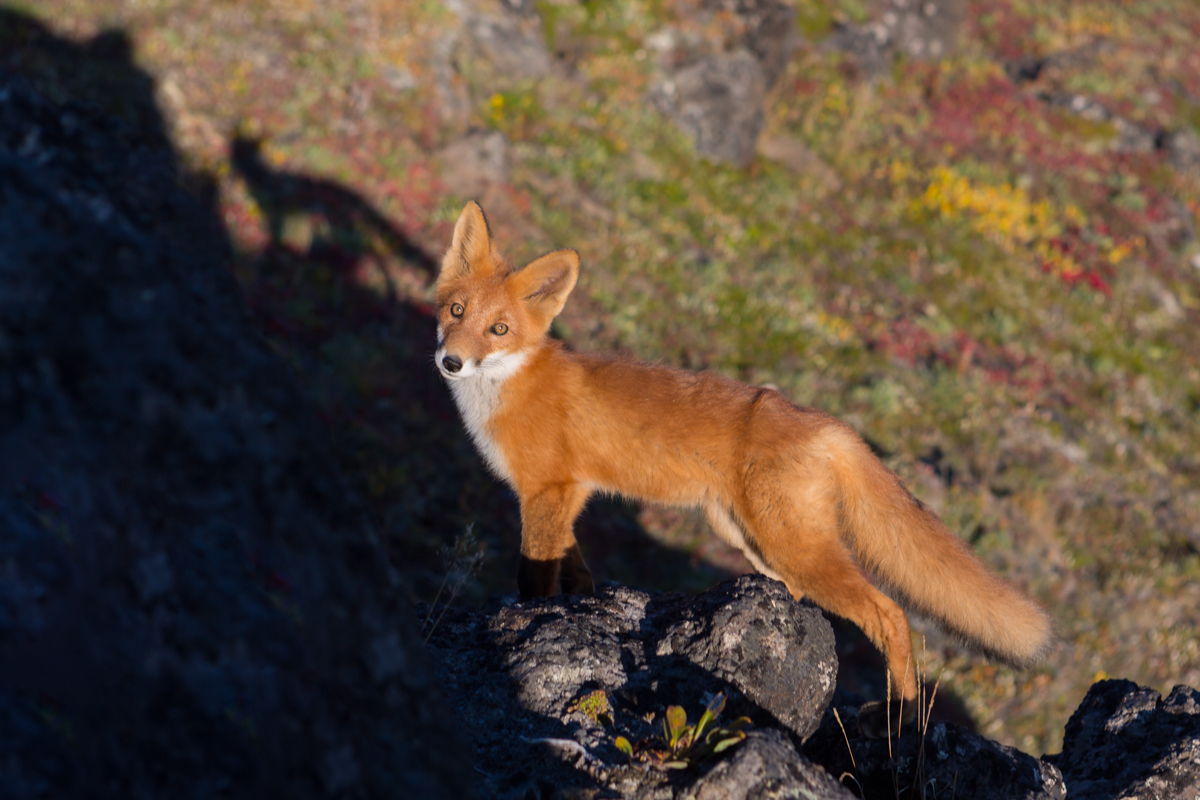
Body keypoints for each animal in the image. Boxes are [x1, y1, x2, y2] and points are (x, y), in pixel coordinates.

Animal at [432, 201, 1051, 738]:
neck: (508, 388)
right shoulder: (567, 498)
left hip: (793, 546)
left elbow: (535, 579)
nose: (450, 361)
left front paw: (524, 630)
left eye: (500, 330)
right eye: (456, 312)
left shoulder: (547, 491)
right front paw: (581, 608)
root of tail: (823, 421)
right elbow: (576, 572)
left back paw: (901, 713)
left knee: (891, 613)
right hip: (748, 539)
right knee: (809, 599)